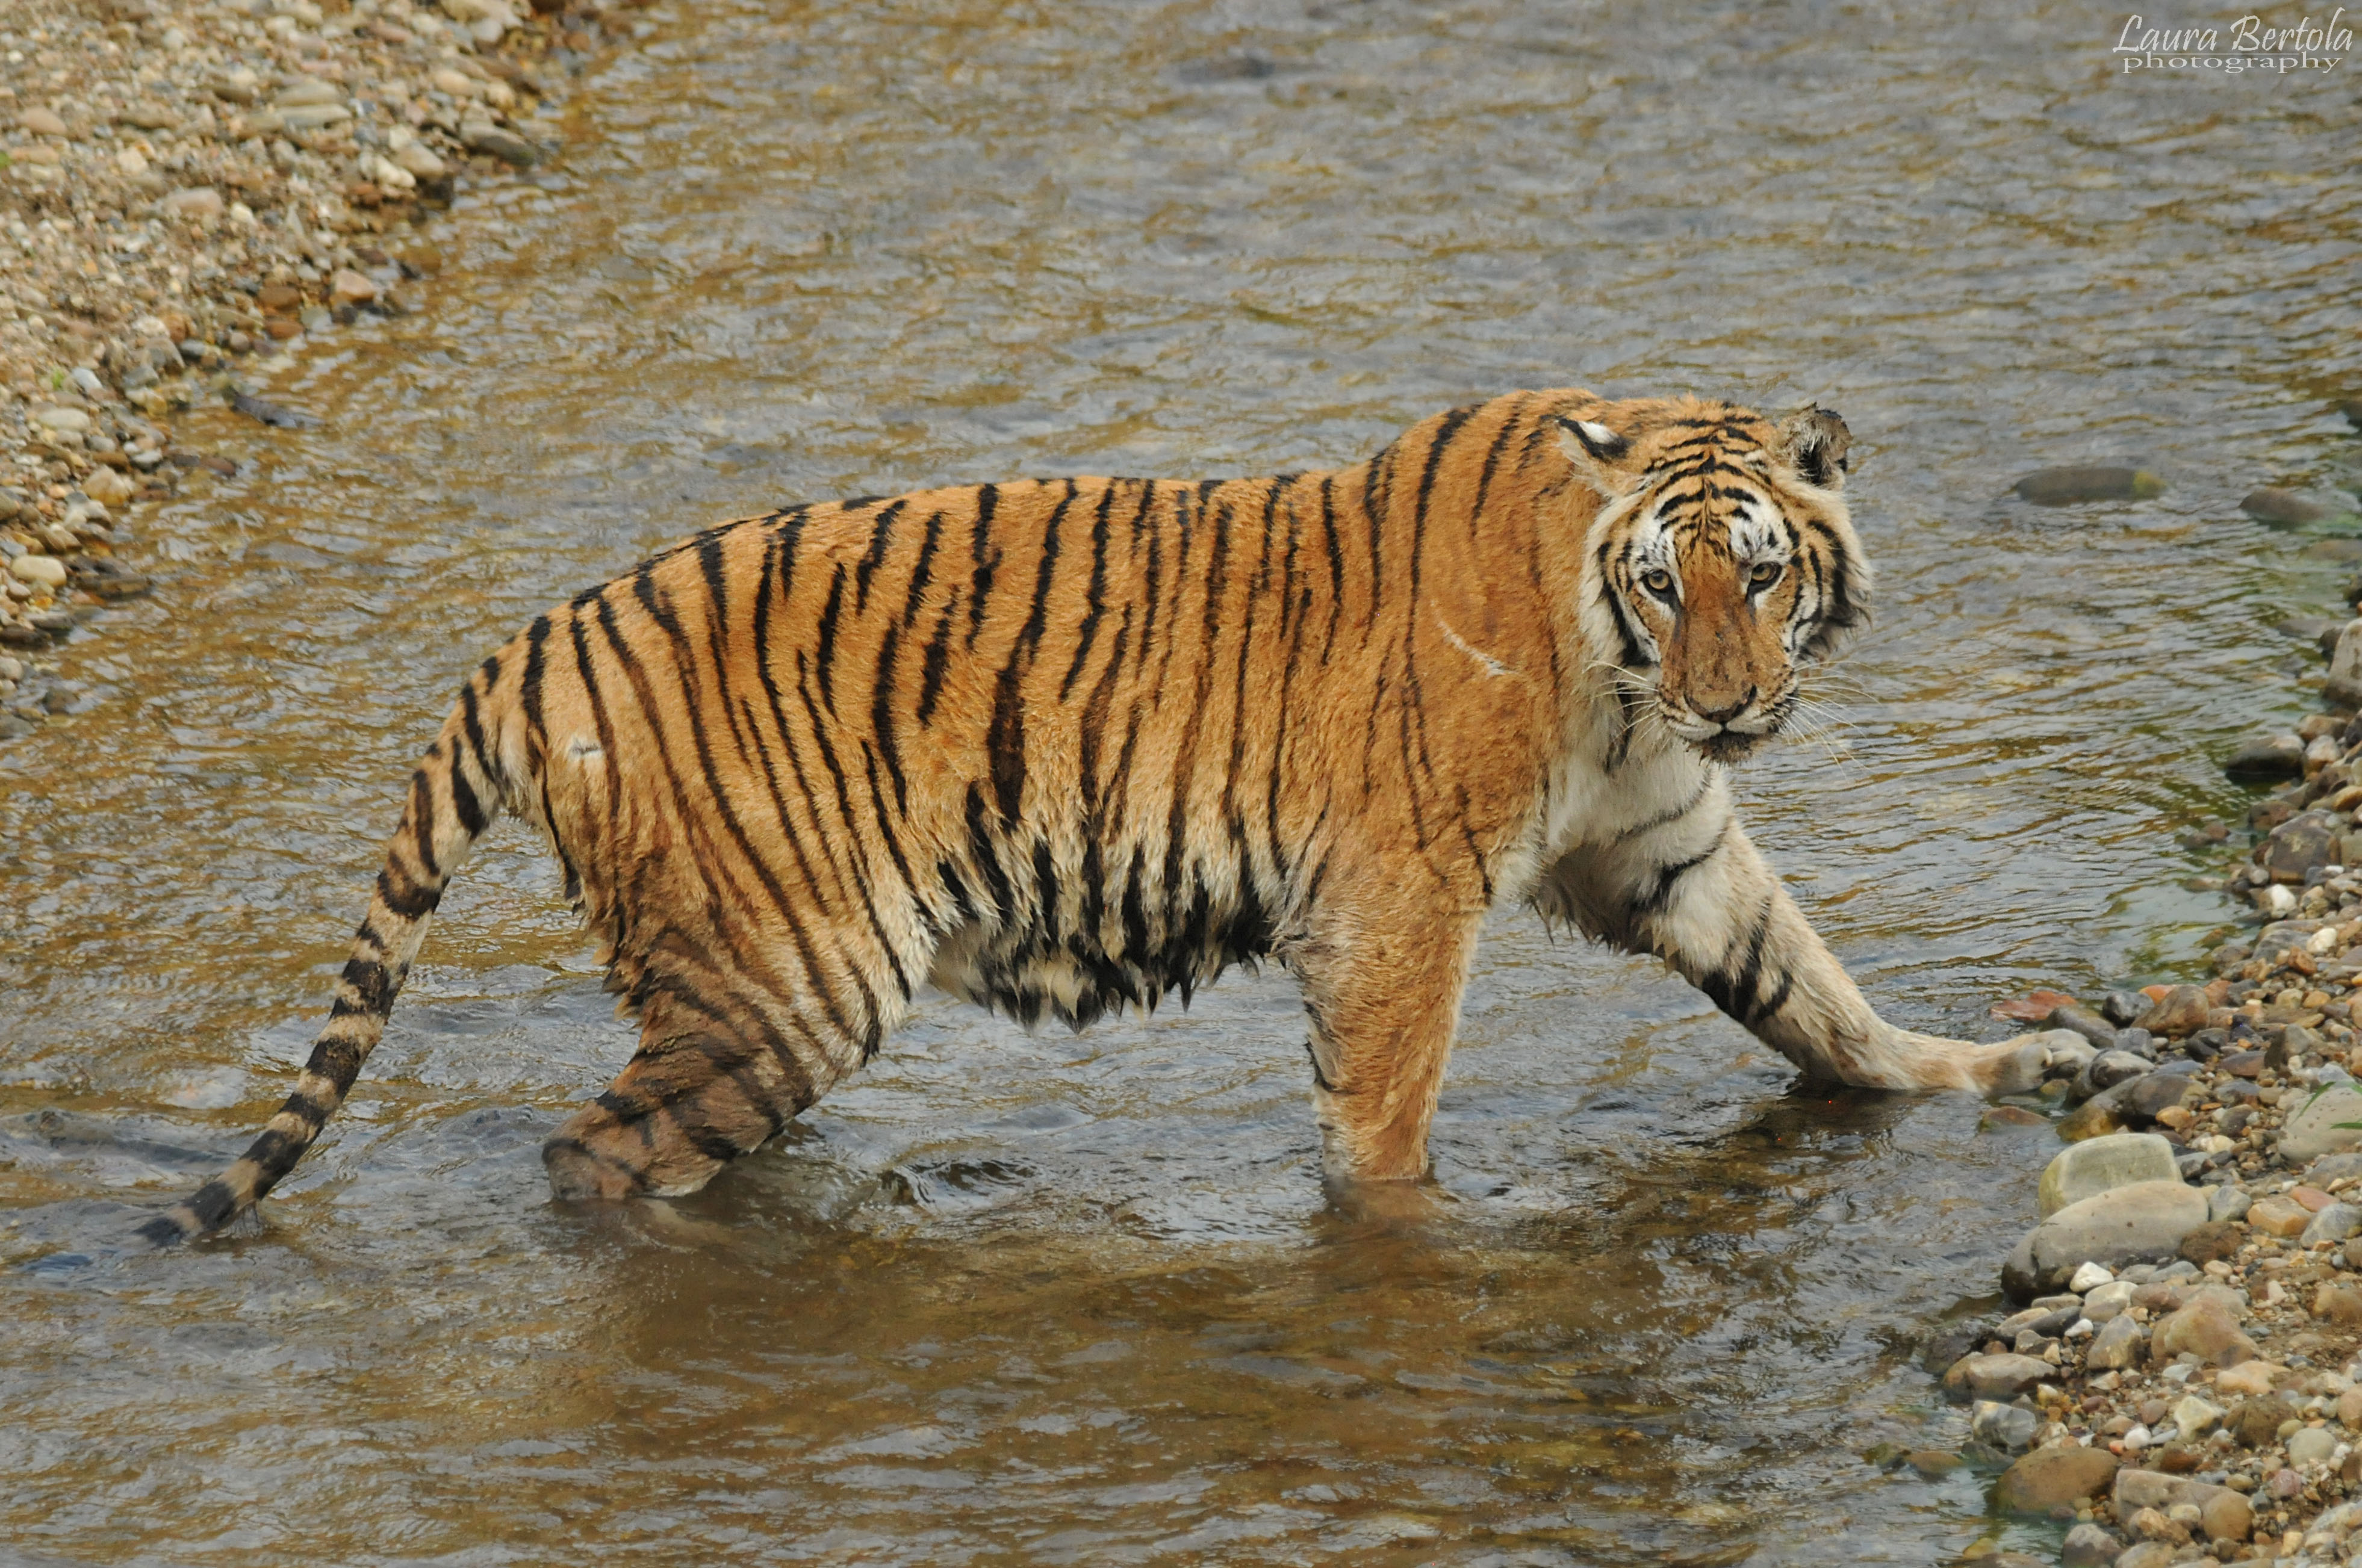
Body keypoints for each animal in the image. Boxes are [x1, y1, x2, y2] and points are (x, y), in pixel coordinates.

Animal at [138, 389, 2054, 1245]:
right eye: (1668, 584)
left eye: (1764, 573)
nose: (1728, 702)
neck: (1615, 683)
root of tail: (535, 639)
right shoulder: (1397, 897)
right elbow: (1386, 1117)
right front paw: (1400, 1243)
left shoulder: (1664, 841)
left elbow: (1816, 993)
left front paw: (1984, 1069)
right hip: (792, 976)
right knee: (588, 1155)